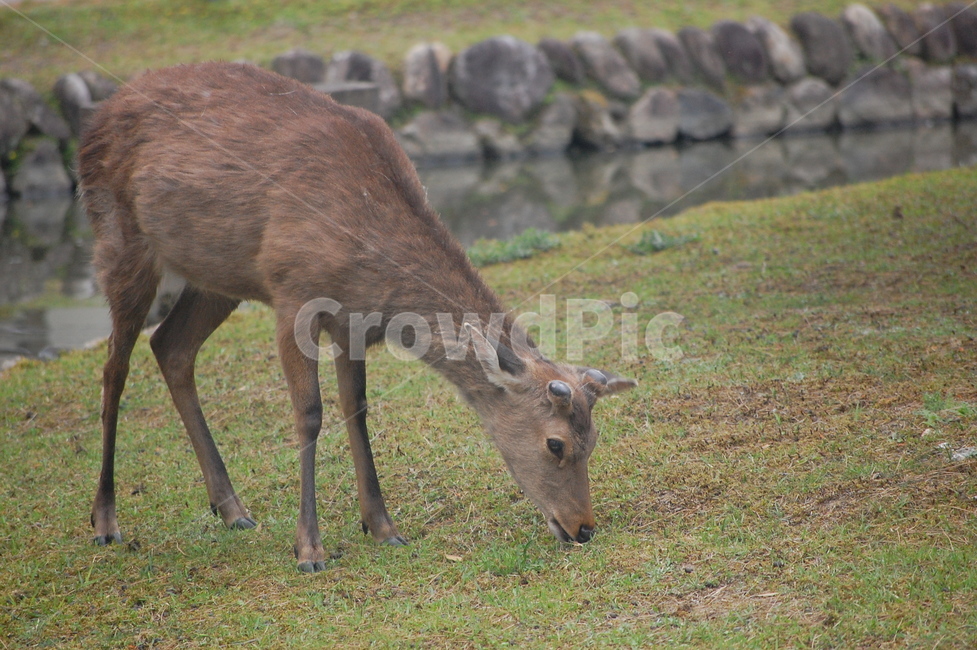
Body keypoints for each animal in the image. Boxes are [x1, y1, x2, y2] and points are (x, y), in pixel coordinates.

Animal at [78, 61, 636, 572]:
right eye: (555, 443)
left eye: (594, 441)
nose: (583, 528)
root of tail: (97, 116)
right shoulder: (292, 293)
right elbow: (309, 413)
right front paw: (309, 549)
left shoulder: (350, 323)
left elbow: (358, 408)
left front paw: (382, 527)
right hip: (119, 237)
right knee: (114, 369)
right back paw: (105, 521)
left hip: (215, 275)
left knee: (170, 346)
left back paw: (232, 509)